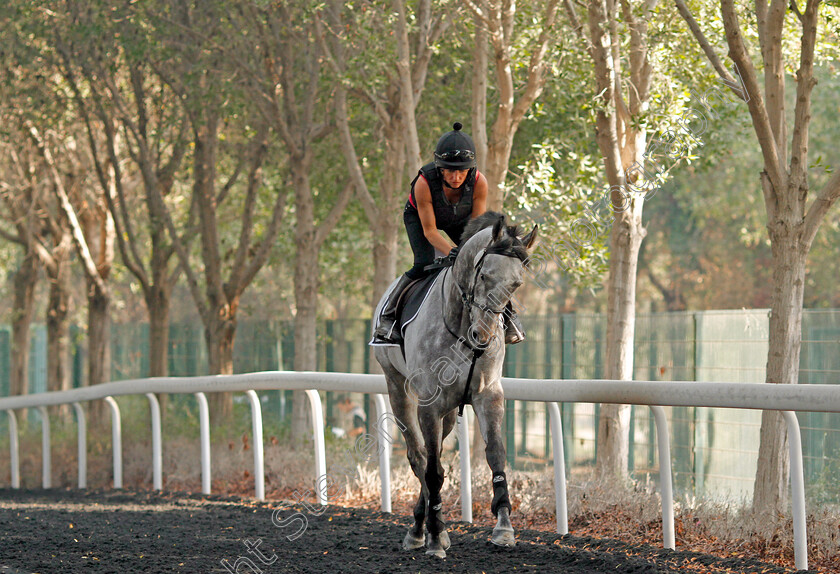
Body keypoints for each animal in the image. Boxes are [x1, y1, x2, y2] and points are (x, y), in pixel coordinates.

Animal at [372, 213, 540, 560]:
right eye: (484, 275)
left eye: (516, 283)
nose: (483, 336)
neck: (462, 326)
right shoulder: (429, 403)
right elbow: (433, 469)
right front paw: (436, 537)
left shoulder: (488, 394)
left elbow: (495, 454)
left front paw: (503, 527)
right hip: (397, 387)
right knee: (418, 456)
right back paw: (420, 531)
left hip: (449, 410)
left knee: (430, 455)